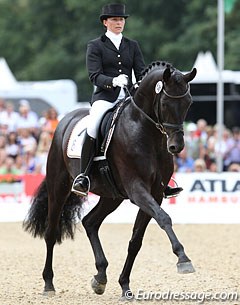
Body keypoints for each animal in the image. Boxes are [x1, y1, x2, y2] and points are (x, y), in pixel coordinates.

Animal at [23, 60, 197, 298]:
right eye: (165, 103)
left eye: (188, 103)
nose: (176, 146)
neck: (146, 133)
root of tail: (65, 120)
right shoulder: (137, 189)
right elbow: (164, 218)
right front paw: (183, 259)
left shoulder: (155, 193)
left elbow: (136, 241)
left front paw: (125, 285)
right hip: (59, 187)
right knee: (51, 233)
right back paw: (49, 284)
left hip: (111, 196)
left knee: (90, 222)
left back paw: (100, 277)